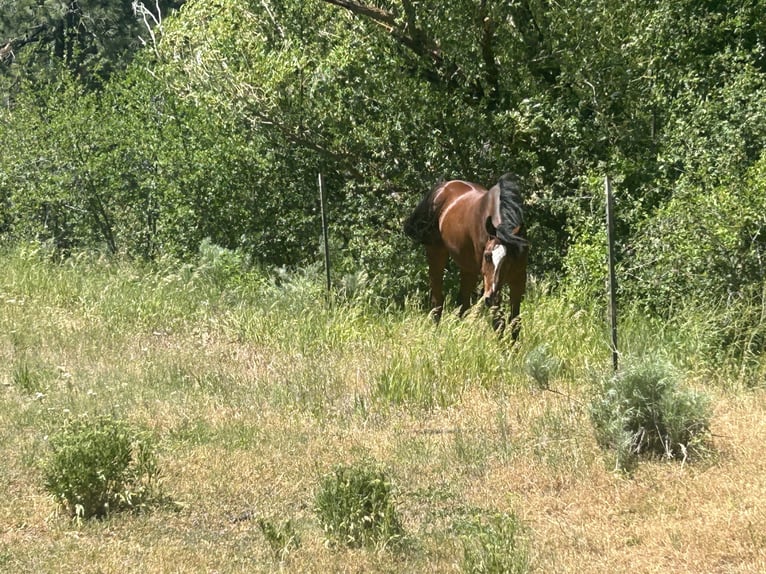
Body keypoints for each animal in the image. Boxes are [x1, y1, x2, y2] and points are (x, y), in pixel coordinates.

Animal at [403, 173, 528, 340]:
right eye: (487, 256)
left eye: (509, 259)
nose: (490, 297)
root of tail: (442, 188)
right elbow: (499, 322)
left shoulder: (518, 279)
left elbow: (515, 322)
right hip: (436, 252)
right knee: (438, 299)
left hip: (467, 268)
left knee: (463, 303)